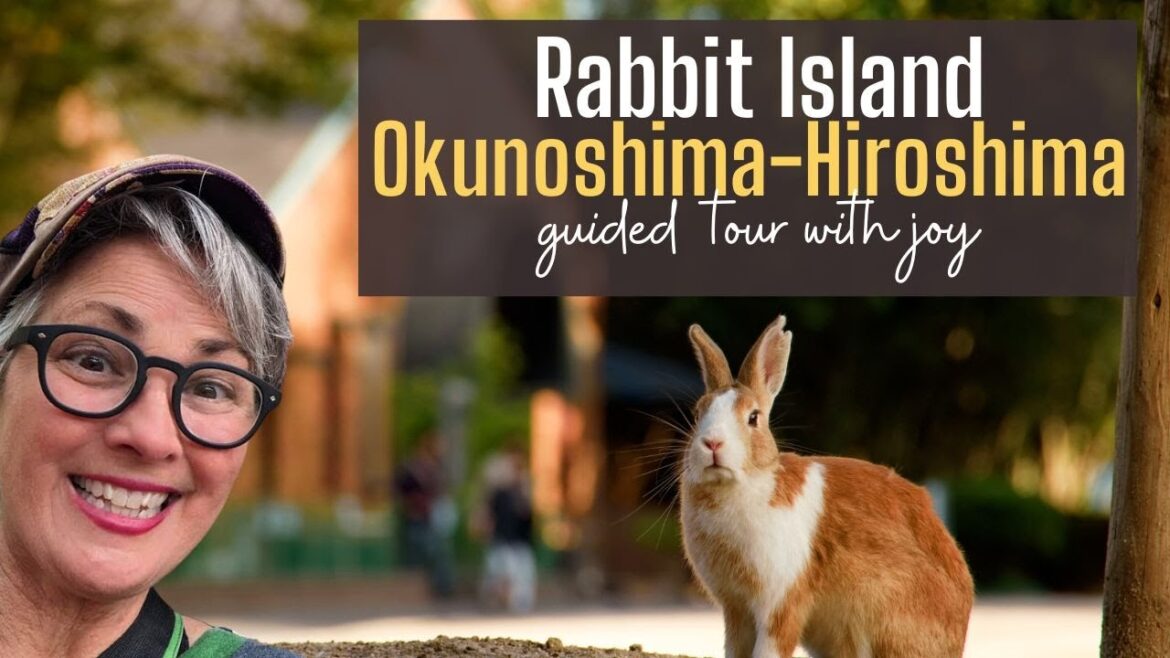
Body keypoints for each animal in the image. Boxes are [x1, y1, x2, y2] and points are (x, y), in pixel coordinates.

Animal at [680, 315, 974, 658]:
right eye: (697, 414)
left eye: (753, 417)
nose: (712, 443)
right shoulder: (736, 610)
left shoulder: (780, 604)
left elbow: (771, 647)